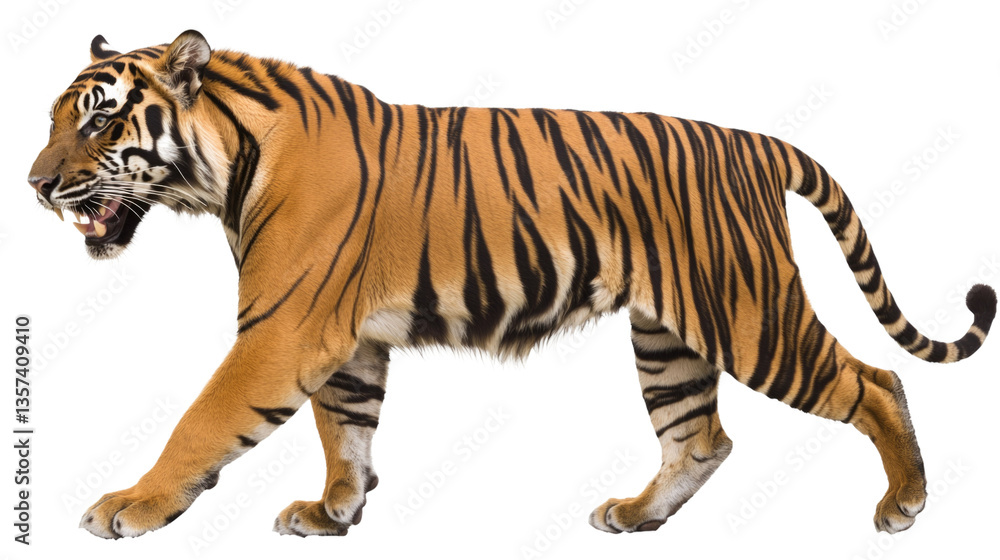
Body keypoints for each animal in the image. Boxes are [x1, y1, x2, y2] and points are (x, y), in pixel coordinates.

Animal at [27, 30, 995, 540]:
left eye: (100, 120)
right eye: (51, 120)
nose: (36, 184)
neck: (226, 167)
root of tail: (756, 143)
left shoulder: (282, 329)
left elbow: (202, 423)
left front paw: (132, 505)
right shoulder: (346, 340)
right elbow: (347, 429)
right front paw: (336, 511)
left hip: (752, 317)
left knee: (876, 380)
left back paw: (904, 504)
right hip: (668, 336)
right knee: (702, 439)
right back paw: (636, 515)